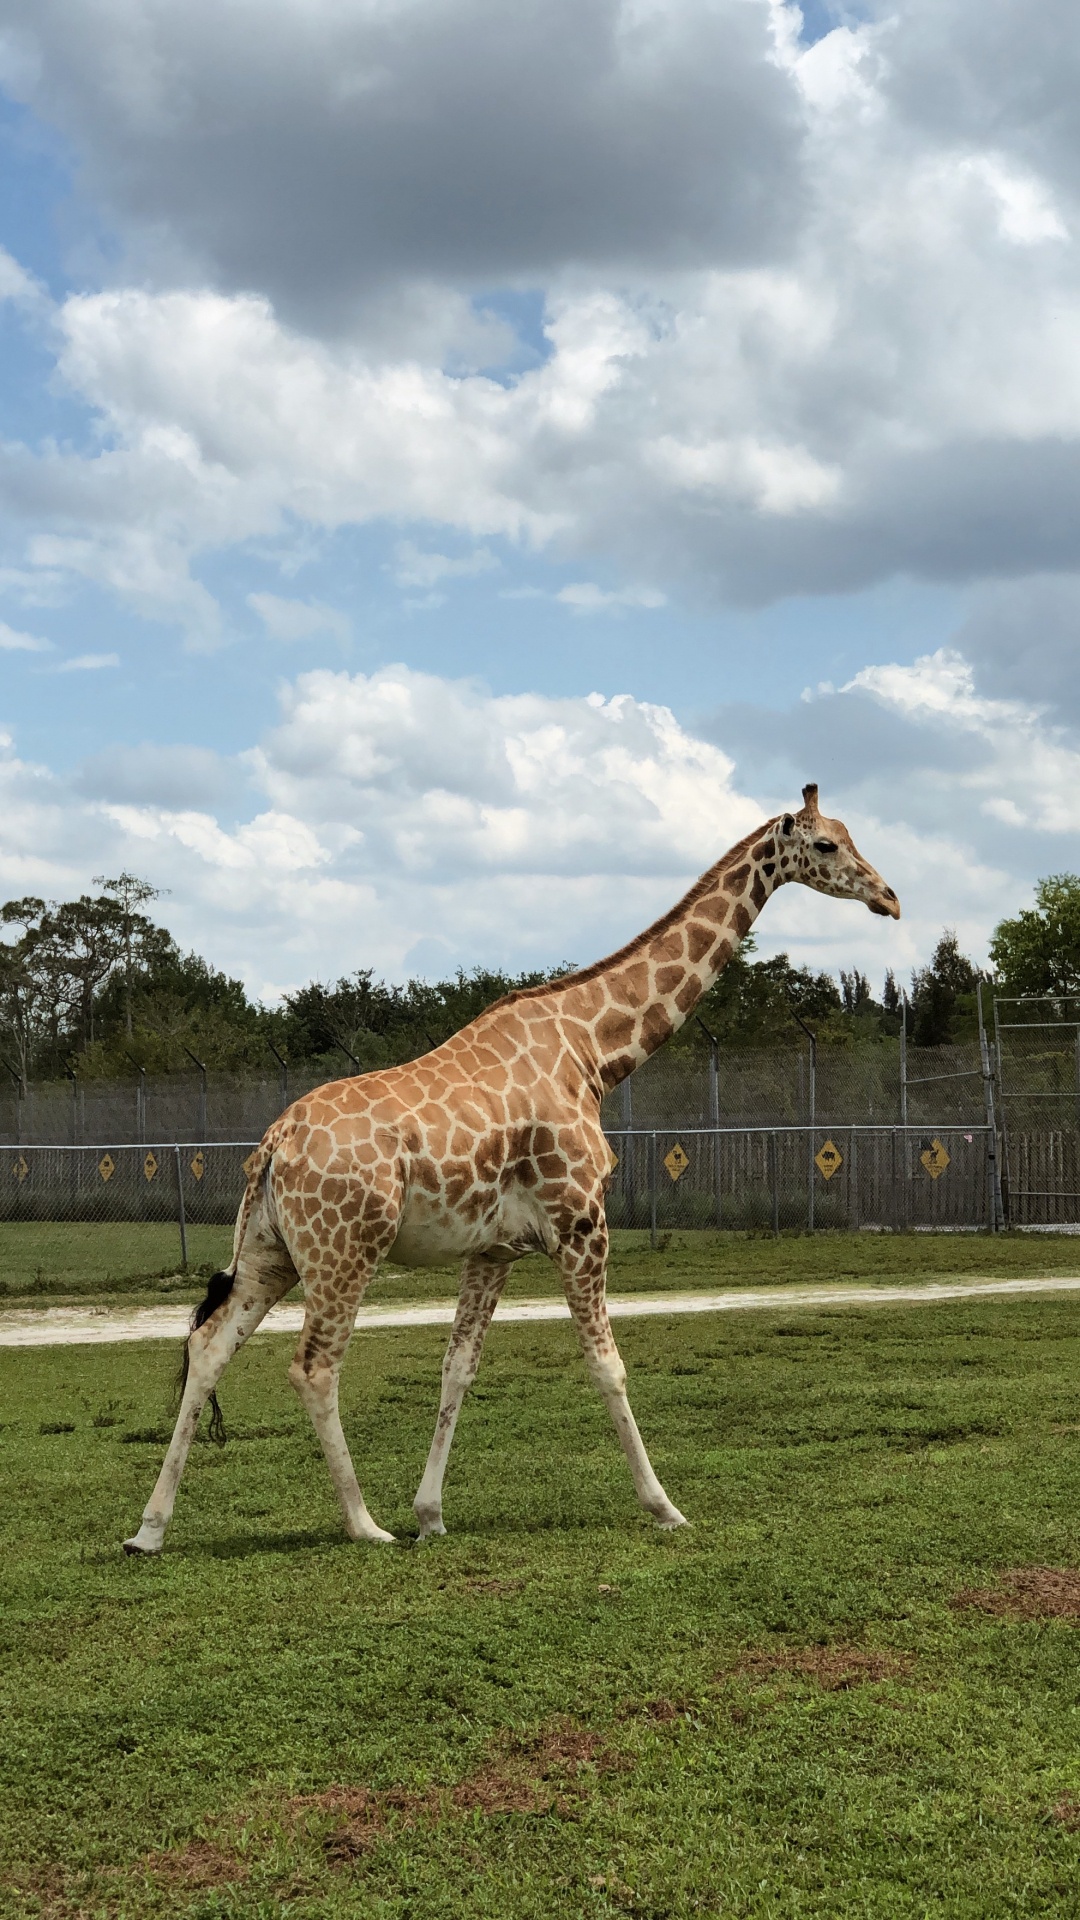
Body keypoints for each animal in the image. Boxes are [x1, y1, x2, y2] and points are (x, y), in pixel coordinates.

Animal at [122, 784, 899, 1555]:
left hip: (270, 1250)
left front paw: (431, 1513)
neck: (594, 1051)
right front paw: (664, 1505)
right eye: (826, 844)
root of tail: (274, 1144)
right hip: (344, 1252)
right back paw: (364, 1523)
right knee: (313, 1368)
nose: (889, 898)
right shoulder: (582, 1223)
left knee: (208, 1347)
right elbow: (607, 1365)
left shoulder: (493, 1249)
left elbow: (457, 1368)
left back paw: (150, 1529)